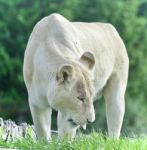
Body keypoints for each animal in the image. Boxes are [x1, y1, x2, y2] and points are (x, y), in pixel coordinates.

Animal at [23, 13, 129, 141]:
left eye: (90, 98)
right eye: (80, 98)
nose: (90, 120)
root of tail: (112, 29)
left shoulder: (67, 113)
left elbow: (66, 131)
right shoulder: (36, 102)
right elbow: (42, 129)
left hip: (117, 89)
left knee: (115, 117)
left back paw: (111, 141)